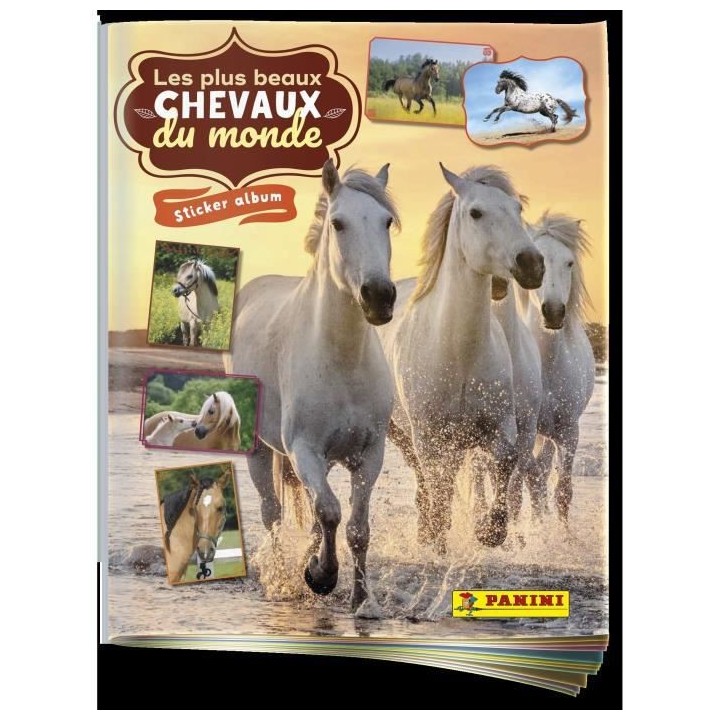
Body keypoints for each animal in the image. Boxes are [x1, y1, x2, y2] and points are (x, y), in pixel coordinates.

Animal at [226, 160, 399, 613]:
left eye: (386, 221)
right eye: (338, 223)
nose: (379, 296)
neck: (342, 360)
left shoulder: (369, 454)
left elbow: (355, 527)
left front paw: (361, 599)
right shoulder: (303, 448)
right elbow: (331, 511)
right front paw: (321, 577)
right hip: (262, 450)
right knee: (272, 512)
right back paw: (283, 577)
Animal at [376, 164, 544, 555]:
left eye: (517, 209)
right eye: (476, 213)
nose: (532, 264)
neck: (460, 354)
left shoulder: (501, 427)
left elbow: (505, 464)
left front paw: (490, 531)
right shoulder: (428, 436)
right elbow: (438, 487)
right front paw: (438, 537)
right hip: (402, 433)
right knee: (426, 481)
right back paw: (427, 533)